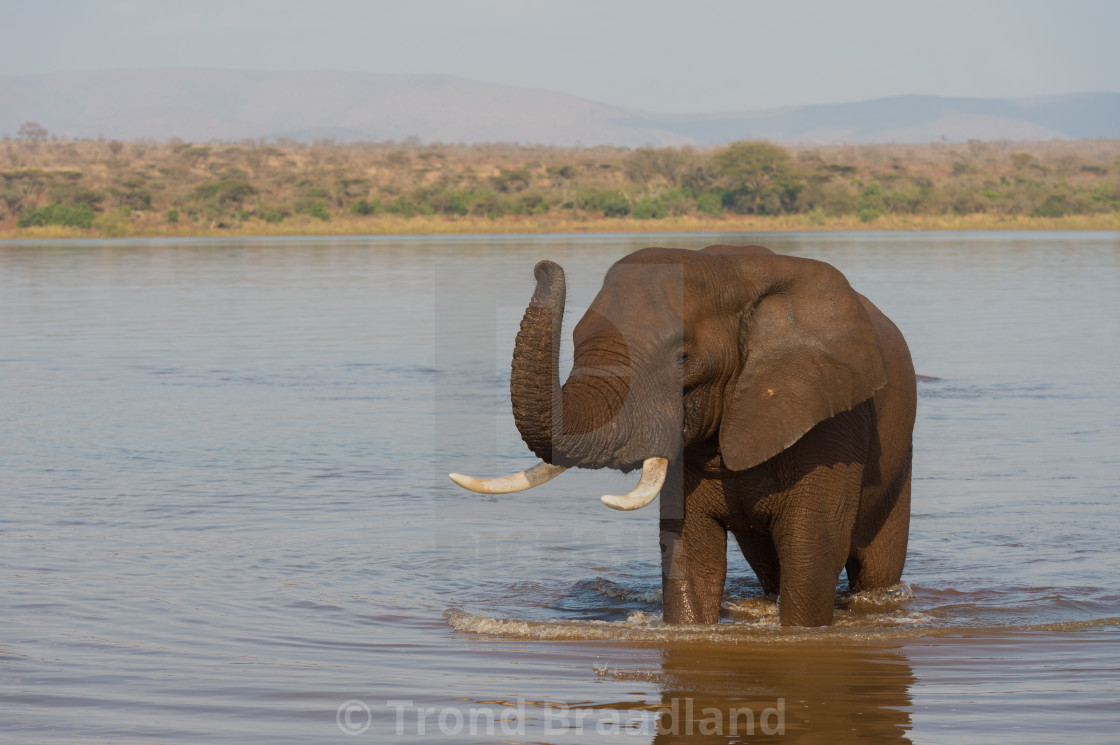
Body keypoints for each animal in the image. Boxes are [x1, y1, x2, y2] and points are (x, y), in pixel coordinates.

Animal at [450, 245, 913, 627]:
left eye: (682, 358)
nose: (542, 266)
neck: (731, 274)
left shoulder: (832, 419)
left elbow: (810, 550)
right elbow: (690, 550)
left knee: (874, 564)